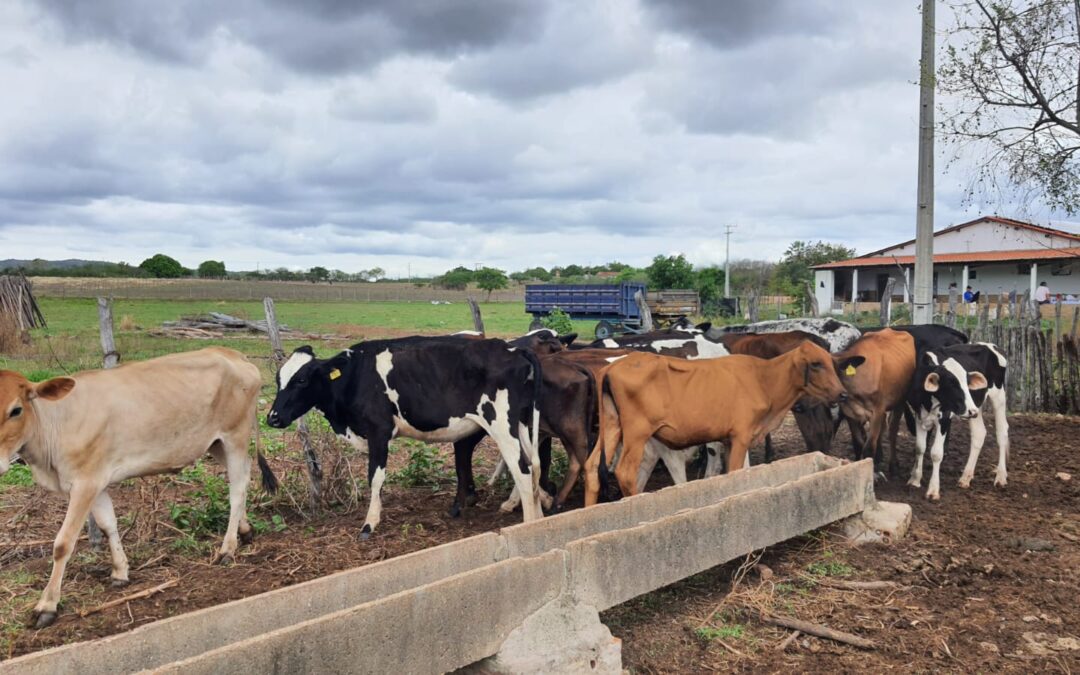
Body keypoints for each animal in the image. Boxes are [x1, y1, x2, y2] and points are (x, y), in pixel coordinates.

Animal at [0, 347, 270, 626]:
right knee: (243, 475)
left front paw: (47, 606)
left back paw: (227, 549)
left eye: (16, 410)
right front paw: (120, 572)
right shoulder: (97, 482)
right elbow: (108, 525)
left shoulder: (84, 484)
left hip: (235, 436)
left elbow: (63, 543)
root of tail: (230, 352)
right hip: (215, 444)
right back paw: (245, 530)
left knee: (237, 488)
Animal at [266, 334, 544, 533]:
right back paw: (540, 519)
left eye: (301, 380)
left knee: (522, 469)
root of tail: (511, 348)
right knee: (534, 466)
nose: (273, 417)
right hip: (521, 424)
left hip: (501, 424)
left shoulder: (379, 431)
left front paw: (369, 523)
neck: (356, 376)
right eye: (278, 379)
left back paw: (529, 524)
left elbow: (375, 477)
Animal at [587, 341, 855, 505]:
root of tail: (613, 366)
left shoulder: (733, 438)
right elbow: (734, 473)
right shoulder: (740, 435)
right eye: (816, 364)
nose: (842, 394)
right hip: (637, 432)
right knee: (625, 472)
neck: (763, 379)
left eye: (832, 363)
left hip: (611, 426)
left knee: (591, 468)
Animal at [902, 341, 1010, 501]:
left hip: (998, 396)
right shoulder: (919, 414)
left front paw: (933, 490)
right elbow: (920, 448)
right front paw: (915, 480)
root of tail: (991, 345)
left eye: (967, 382)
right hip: (975, 406)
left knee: (1002, 433)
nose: (971, 411)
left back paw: (1001, 477)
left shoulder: (944, 417)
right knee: (979, 433)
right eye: (951, 383)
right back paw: (965, 478)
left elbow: (936, 453)